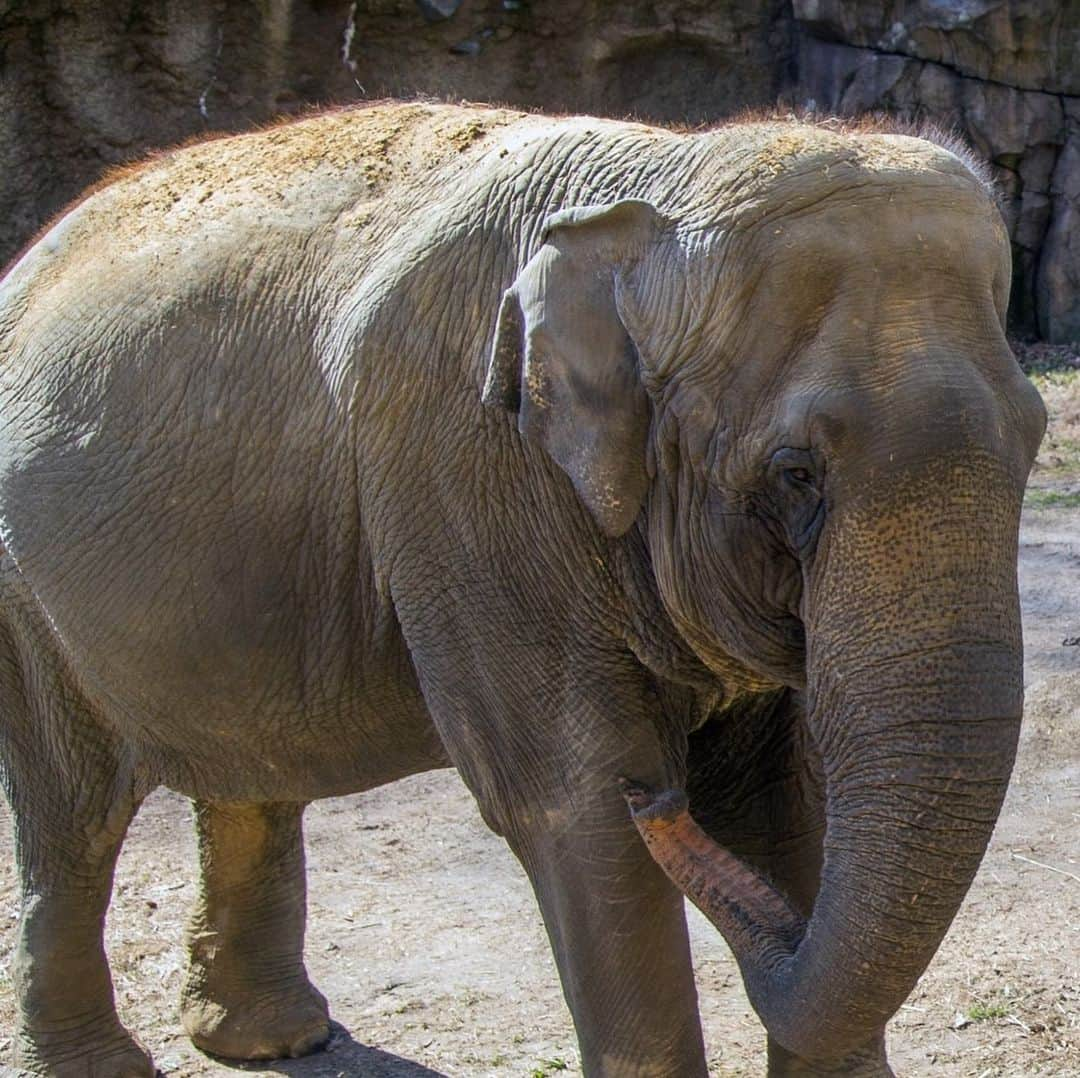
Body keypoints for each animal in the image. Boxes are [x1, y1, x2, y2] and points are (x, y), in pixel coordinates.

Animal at [0, 103, 1045, 1078]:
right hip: (23, 595)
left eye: (1036, 436)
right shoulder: (464, 470)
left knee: (245, 773)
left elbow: (777, 794)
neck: (662, 175)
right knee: (73, 818)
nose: (661, 802)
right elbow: (572, 804)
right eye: (795, 473)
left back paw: (271, 1039)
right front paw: (629, 796)